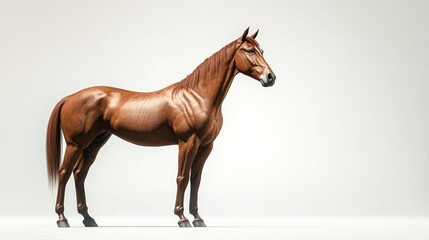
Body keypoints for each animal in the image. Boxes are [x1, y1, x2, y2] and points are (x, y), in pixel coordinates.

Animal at [46, 27, 274, 228]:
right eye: (250, 50)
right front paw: (182, 218)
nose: (270, 77)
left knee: (79, 173)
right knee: (64, 172)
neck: (198, 96)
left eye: (262, 51)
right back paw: (62, 218)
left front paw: (198, 218)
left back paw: (88, 218)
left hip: (95, 143)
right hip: (76, 144)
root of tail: (70, 97)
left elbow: (196, 180)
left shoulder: (205, 146)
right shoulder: (188, 142)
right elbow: (182, 178)